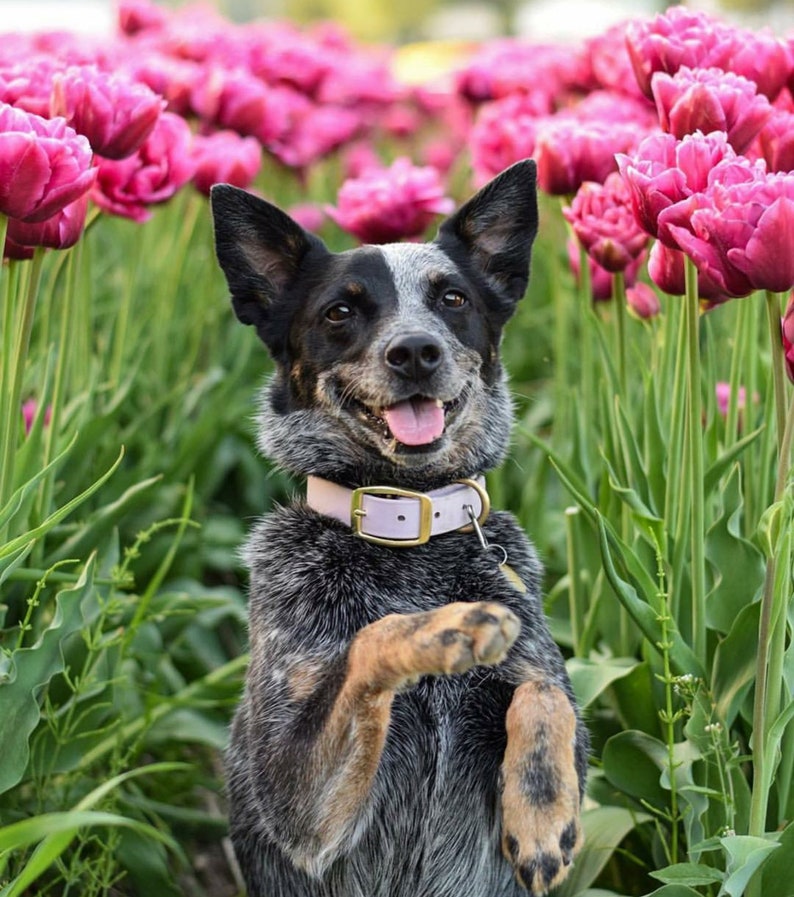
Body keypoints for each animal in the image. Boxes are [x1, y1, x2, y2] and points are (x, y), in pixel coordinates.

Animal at [210, 161, 588, 896]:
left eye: (453, 298)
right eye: (341, 311)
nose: (415, 350)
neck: (407, 528)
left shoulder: (552, 690)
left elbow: (543, 687)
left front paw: (541, 810)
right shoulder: (298, 805)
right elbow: (371, 639)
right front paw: (444, 627)